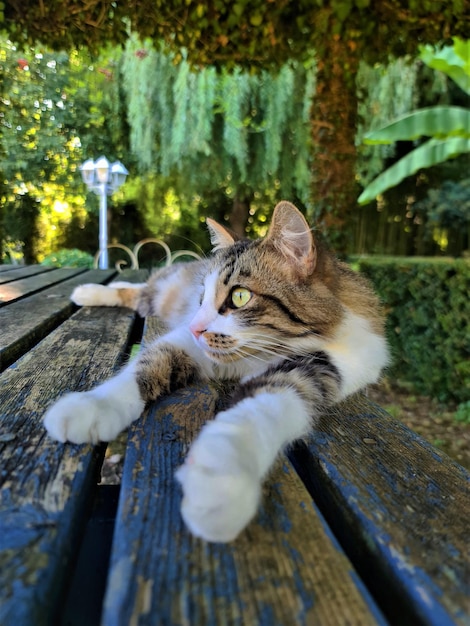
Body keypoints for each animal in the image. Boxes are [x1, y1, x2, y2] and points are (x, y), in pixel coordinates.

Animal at [44, 201, 390, 540]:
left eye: (240, 296)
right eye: (202, 299)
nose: (196, 327)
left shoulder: (318, 368)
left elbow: (258, 412)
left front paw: (220, 481)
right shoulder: (187, 342)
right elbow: (143, 367)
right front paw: (90, 406)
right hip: (160, 293)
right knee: (138, 289)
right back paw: (87, 291)